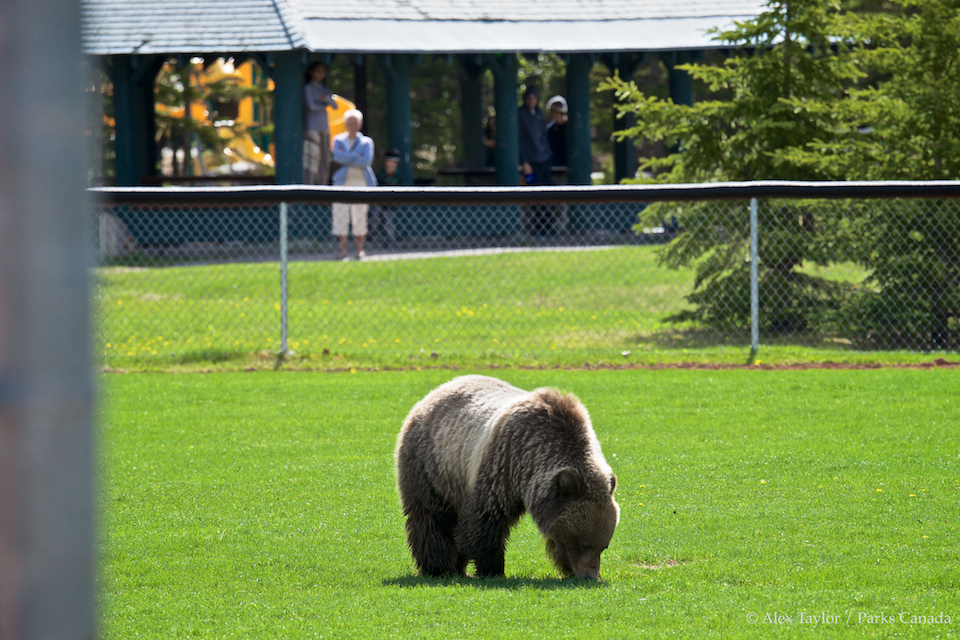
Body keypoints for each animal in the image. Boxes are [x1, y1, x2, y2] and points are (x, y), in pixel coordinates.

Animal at [395, 375, 619, 580]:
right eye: (585, 544)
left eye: (604, 546)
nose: (591, 576)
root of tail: (434, 392)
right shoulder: (504, 461)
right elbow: (486, 519)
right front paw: (492, 568)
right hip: (431, 464)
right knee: (431, 516)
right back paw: (438, 567)